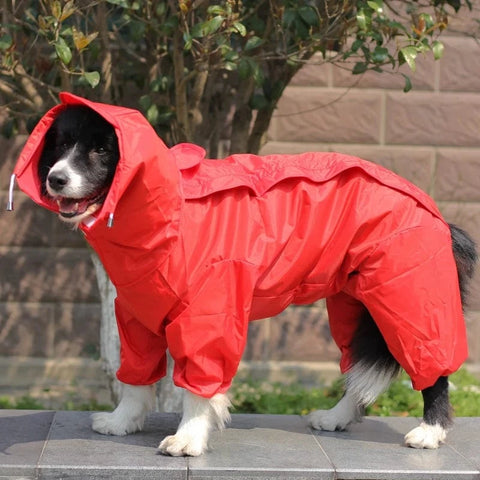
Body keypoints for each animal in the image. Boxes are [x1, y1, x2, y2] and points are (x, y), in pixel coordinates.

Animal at [23, 99, 476, 456]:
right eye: (59, 146)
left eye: (102, 150)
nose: (55, 178)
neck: (167, 213)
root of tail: (439, 214)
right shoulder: (136, 312)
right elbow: (135, 376)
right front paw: (122, 423)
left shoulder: (210, 312)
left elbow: (199, 383)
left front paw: (188, 439)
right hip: (354, 306)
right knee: (357, 368)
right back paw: (336, 417)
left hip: (409, 295)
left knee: (432, 366)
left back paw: (430, 432)